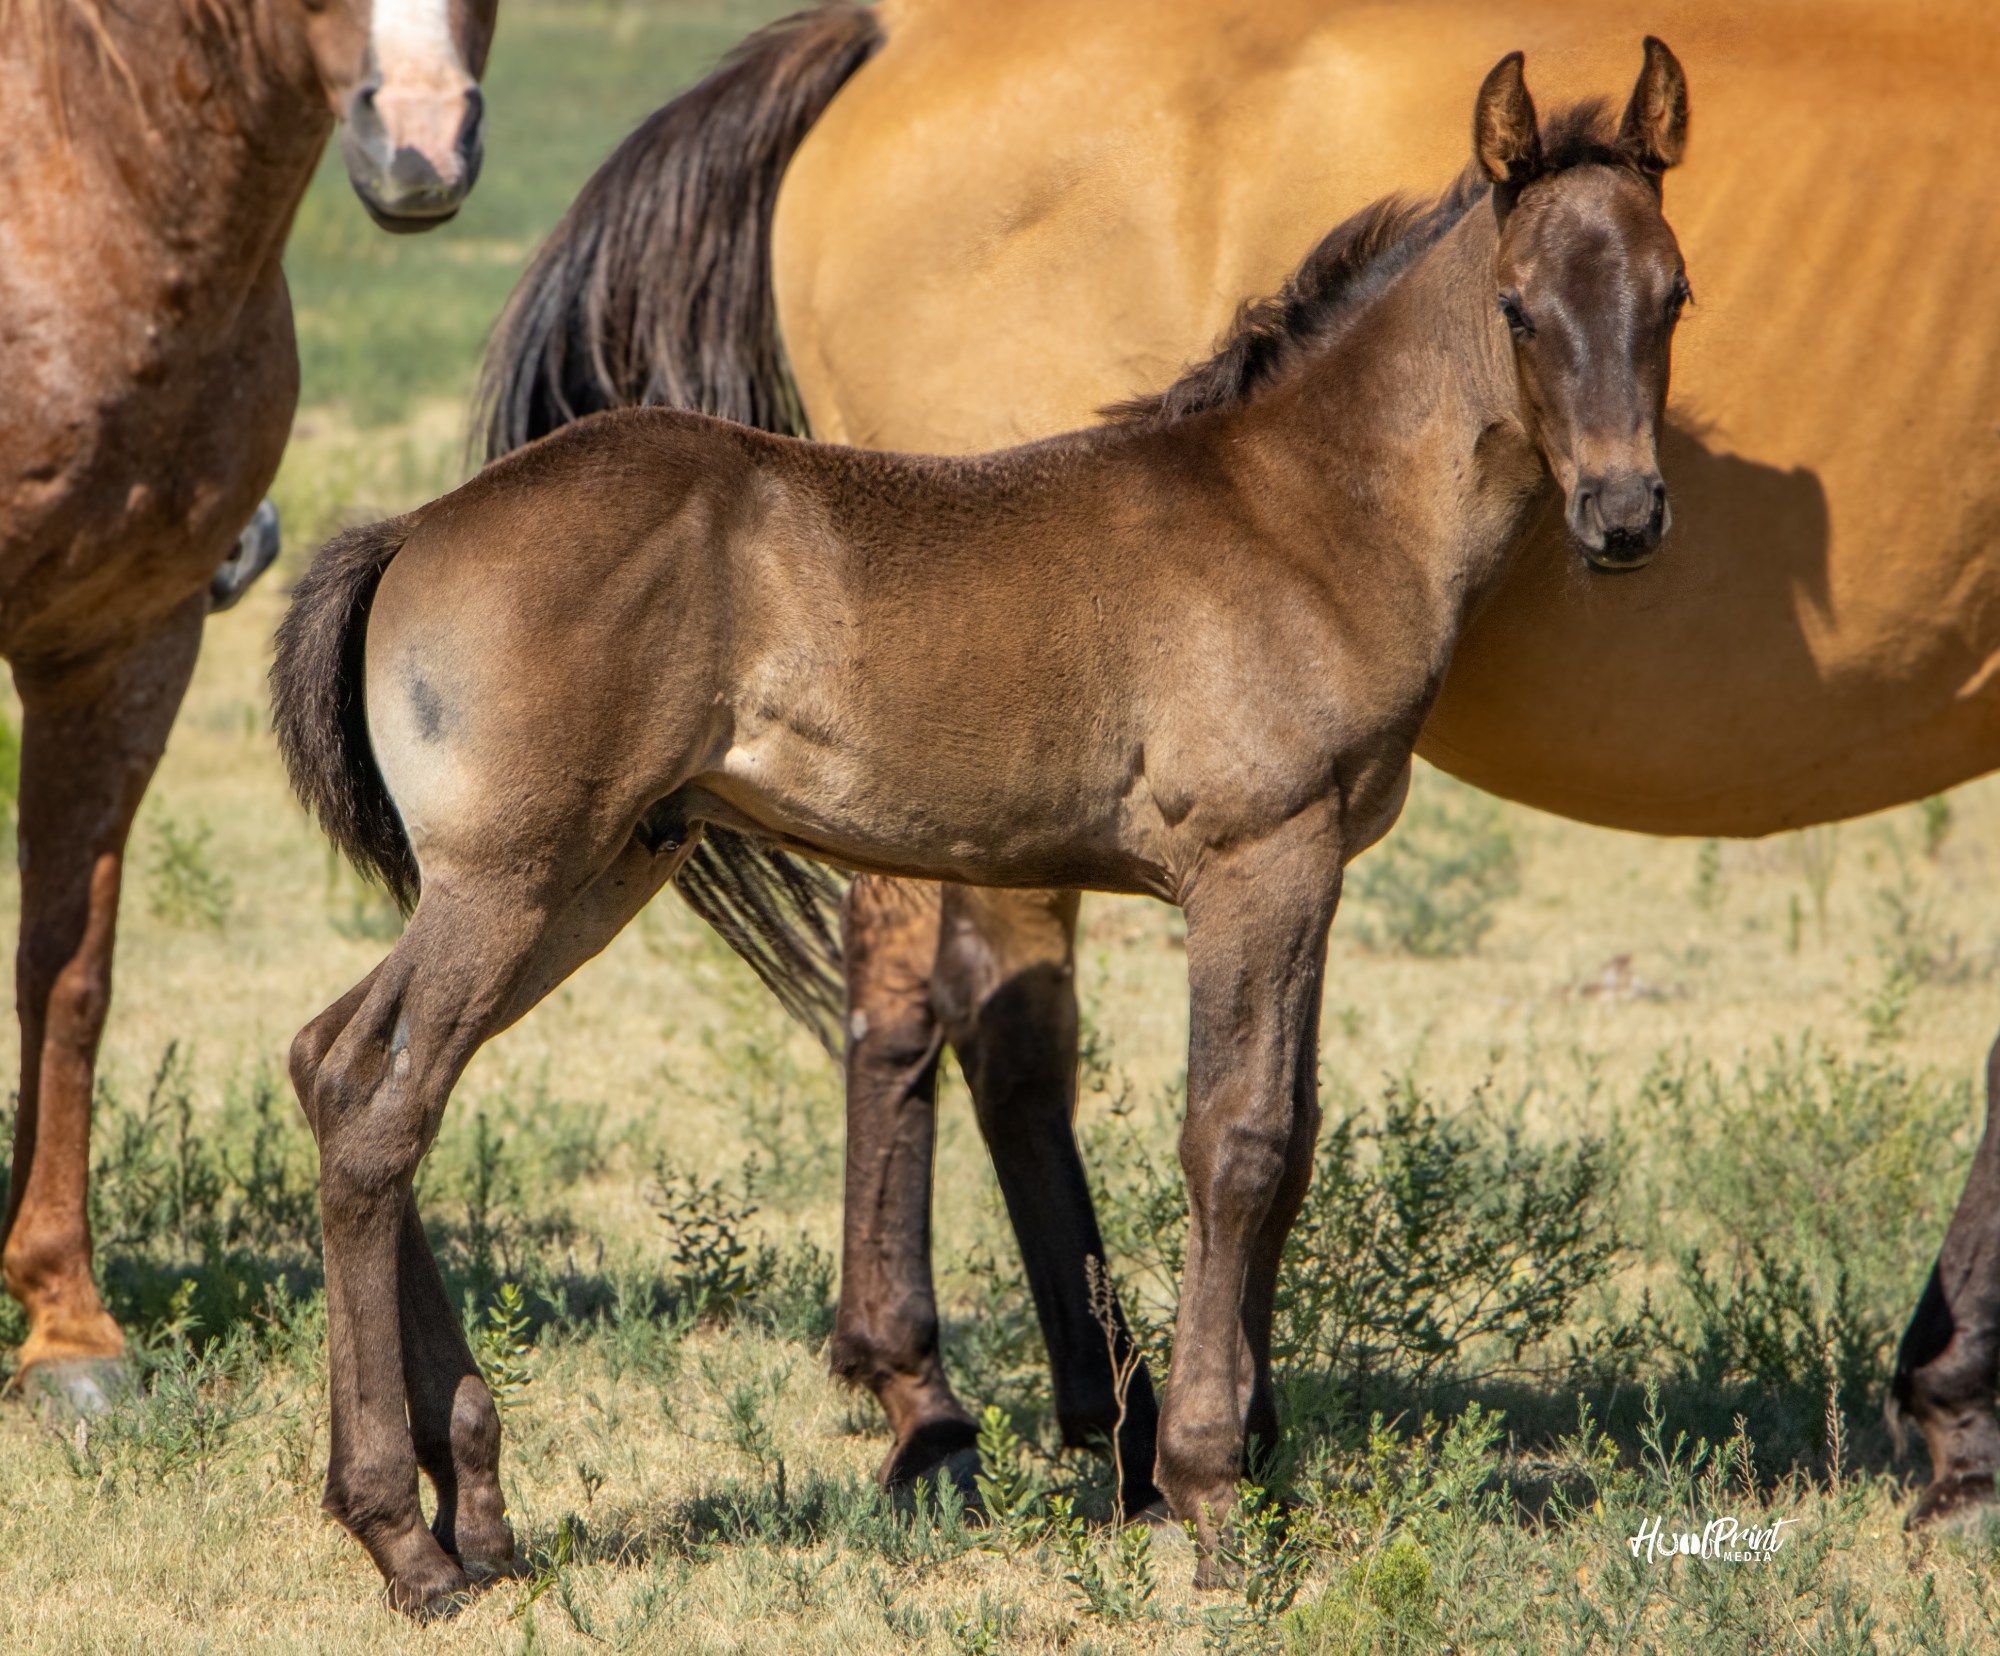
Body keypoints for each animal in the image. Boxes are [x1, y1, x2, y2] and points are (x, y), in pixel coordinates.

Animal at [275, 43, 1693, 1606]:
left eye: (1673, 292)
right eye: (1518, 306)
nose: (1625, 514)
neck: (1300, 512)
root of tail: (412, 529)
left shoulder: (1314, 866)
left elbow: (1294, 1139)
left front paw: (1257, 1467)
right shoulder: (1253, 862)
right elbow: (1236, 1140)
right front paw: (1203, 1486)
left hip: (593, 873)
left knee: (339, 1061)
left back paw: (474, 1503)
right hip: (514, 877)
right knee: (380, 1104)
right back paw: (402, 1535)